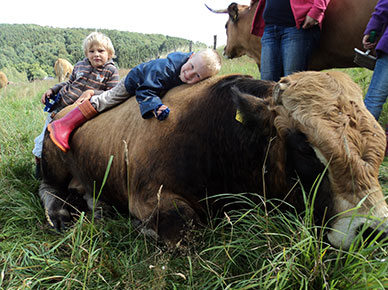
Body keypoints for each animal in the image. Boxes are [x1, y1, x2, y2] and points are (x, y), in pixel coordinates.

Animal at [38, 71, 388, 249]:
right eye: (304, 147)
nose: (373, 230)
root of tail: (64, 109)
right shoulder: (149, 195)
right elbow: (184, 227)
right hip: (52, 163)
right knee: (47, 188)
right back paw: (61, 213)